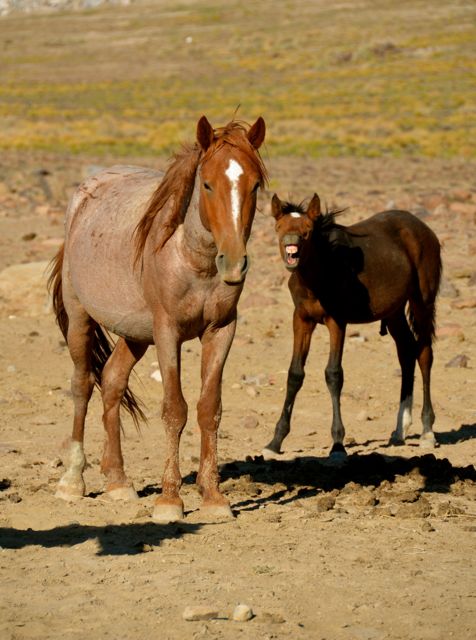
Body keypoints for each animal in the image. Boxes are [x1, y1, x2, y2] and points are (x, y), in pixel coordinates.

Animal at [48, 115, 267, 523]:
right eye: (207, 184)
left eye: (255, 185)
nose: (233, 263)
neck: (192, 259)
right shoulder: (168, 333)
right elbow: (174, 409)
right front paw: (170, 500)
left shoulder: (221, 330)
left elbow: (209, 409)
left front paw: (213, 498)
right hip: (80, 319)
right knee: (83, 385)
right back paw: (72, 481)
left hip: (135, 334)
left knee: (112, 382)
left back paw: (118, 482)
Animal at [263, 193, 441, 459]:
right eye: (278, 227)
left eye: (307, 230)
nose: (290, 247)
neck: (320, 274)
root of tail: (425, 229)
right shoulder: (302, 319)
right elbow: (295, 374)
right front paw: (275, 441)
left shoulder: (337, 321)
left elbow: (334, 374)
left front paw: (338, 444)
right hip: (394, 312)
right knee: (406, 352)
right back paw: (400, 429)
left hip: (423, 302)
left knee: (424, 353)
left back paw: (427, 431)